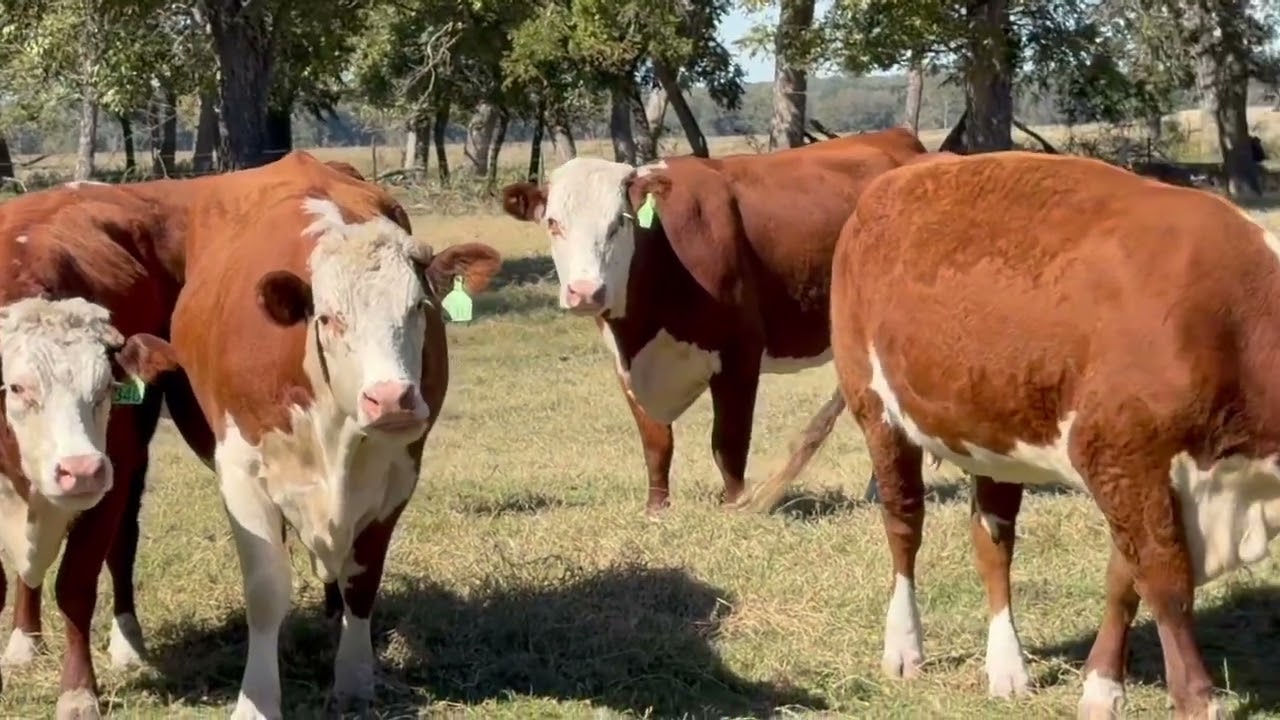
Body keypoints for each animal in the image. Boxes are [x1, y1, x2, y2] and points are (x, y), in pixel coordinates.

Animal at [0, 184, 184, 719]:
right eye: (17, 387)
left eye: (106, 389)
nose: (80, 471)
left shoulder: (114, 472)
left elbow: (77, 584)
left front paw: (78, 691)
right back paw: (23, 639)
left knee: (122, 546)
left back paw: (127, 642)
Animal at [164, 153, 501, 718]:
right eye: (328, 318)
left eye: (419, 307)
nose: (392, 399)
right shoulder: (241, 474)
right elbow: (266, 590)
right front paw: (256, 700)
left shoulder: (397, 475)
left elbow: (361, 580)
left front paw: (355, 679)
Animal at [499, 128, 928, 513]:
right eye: (553, 224)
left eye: (619, 222)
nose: (586, 291)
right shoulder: (626, 365)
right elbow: (656, 443)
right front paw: (656, 508)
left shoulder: (740, 353)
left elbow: (728, 440)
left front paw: (736, 505)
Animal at [772, 149, 1277, 718]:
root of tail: (907, 172)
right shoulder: (1123, 458)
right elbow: (1165, 582)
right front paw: (1196, 698)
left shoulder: (1131, 473)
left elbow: (1123, 578)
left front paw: (1101, 687)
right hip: (877, 411)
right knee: (903, 525)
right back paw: (904, 647)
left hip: (992, 439)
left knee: (993, 544)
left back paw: (1006, 667)